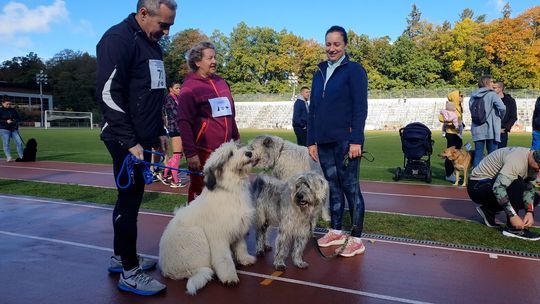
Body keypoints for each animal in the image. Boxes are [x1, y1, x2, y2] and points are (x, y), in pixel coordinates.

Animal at [158, 142, 255, 294]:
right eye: (230, 154)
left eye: (239, 146)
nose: (249, 153)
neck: (231, 189)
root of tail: (169, 271)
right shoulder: (218, 237)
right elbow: (224, 259)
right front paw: (229, 277)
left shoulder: (238, 227)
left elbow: (241, 247)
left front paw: (245, 259)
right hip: (197, 234)